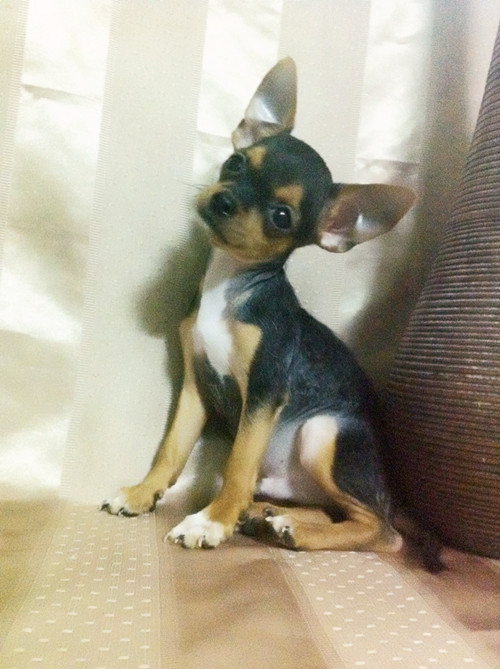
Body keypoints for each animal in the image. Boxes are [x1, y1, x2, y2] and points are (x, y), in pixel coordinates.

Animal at [102, 58, 415, 552]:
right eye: (235, 163)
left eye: (282, 217)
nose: (225, 200)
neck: (229, 285)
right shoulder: (195, 386)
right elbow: (171, 451)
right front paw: (141, 493)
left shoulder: (265, 390)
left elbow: (237, 462)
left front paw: (211, 521)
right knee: (329, 508)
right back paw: (269, 516)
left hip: (322, 431)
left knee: (382, 532)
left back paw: (292, 529)